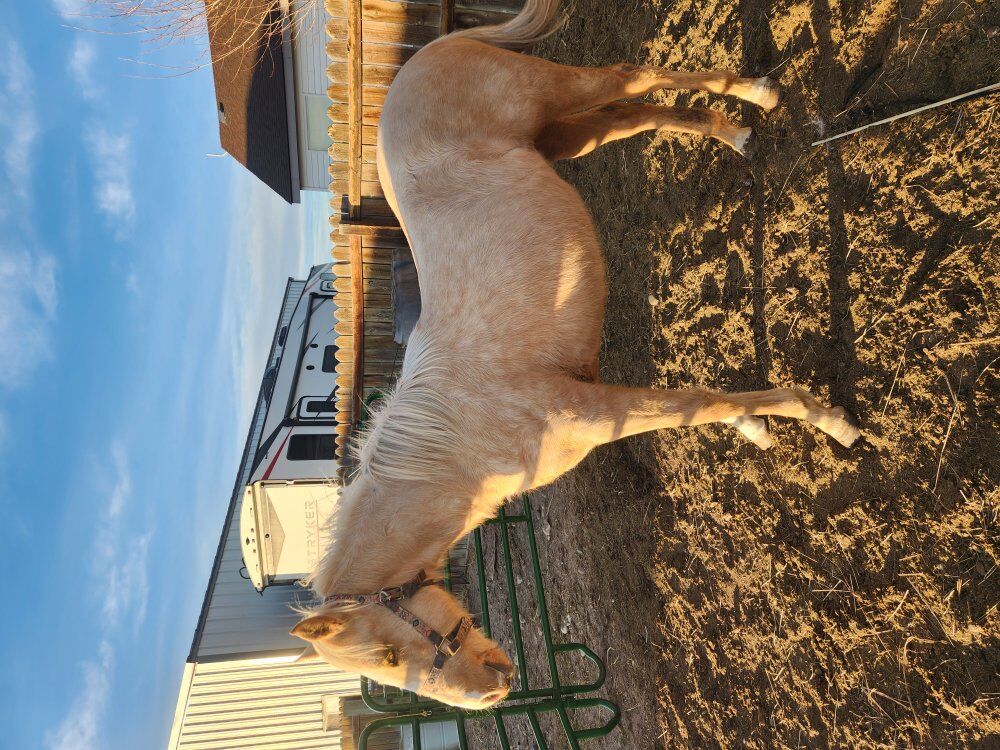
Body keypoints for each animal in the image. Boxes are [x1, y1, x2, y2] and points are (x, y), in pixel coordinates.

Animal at [291, 0, 860, 709]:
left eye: (391, 656)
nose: (492, 692)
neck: (460, 448)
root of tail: (423, 58)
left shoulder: (599, 406)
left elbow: (699, 401)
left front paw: (828, 421)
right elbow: (705, 406)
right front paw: (756, 428)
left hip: (556, 93)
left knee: (631, 77)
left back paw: (758, 96)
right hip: (562, 137)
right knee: (636, 114)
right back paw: (735, 135)